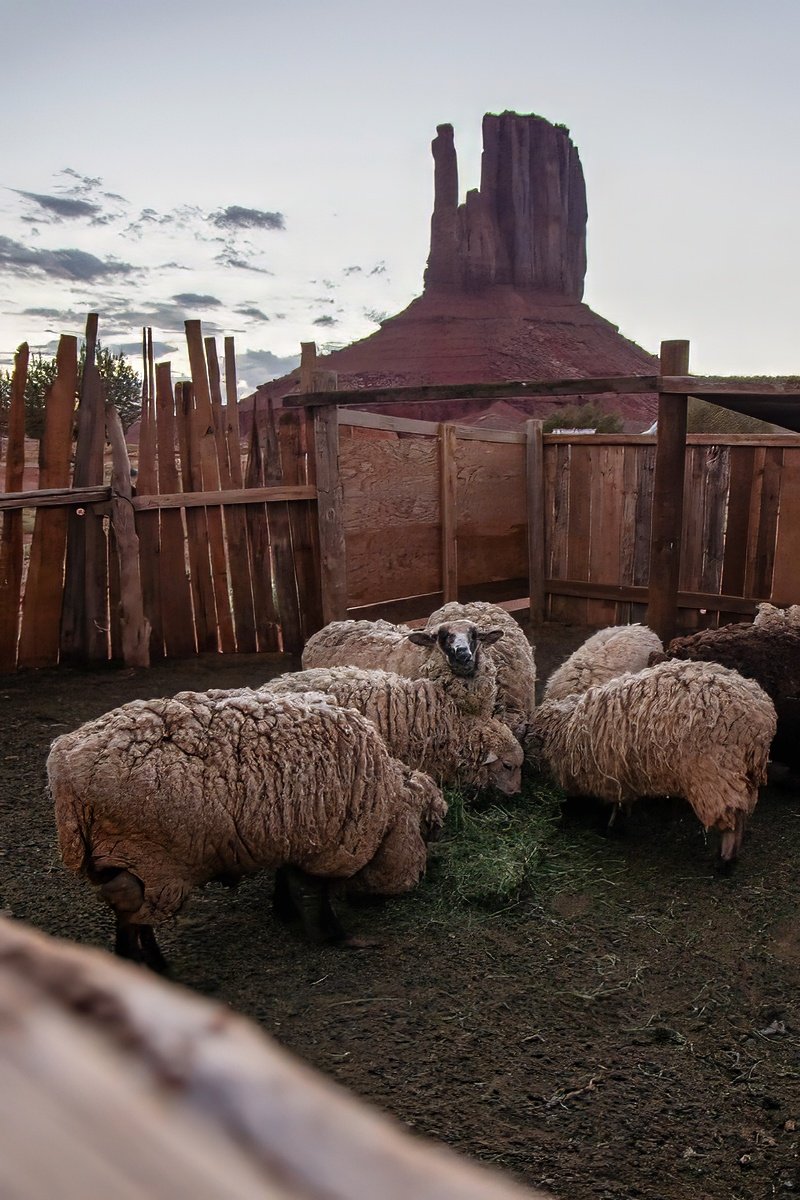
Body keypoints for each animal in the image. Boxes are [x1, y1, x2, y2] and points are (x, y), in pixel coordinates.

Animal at [48, 689, 447, 971]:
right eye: (426, 828)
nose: (429, 871)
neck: (386, 799)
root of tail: (63, 762)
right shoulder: (327, 846)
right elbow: (314, 894)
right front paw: (334, 935)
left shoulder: (294, 835)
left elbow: (287, 878)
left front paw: (284, 911)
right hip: (149, 856)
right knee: (128, 905)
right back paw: (146, 963)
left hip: (129, 855)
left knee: (128, 907)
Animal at [527, 659, 776, 868]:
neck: (568, 730)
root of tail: (761, 717)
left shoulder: (611, 773)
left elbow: (615, 803)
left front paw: (611, 825)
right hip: (742, 771)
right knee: (744, 809)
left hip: (715, 772)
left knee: (732, 815)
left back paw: (725, 859)